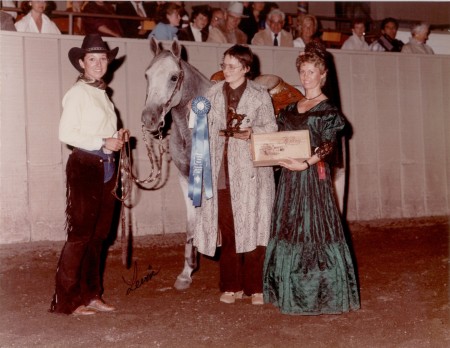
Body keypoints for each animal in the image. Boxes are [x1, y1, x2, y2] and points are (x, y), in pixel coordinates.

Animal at [141, 36, 213, 290]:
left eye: (174, 77)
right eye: (147, 75)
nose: (149, 118)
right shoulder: (186, 178)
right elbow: (191, 223)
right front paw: (186, 272)